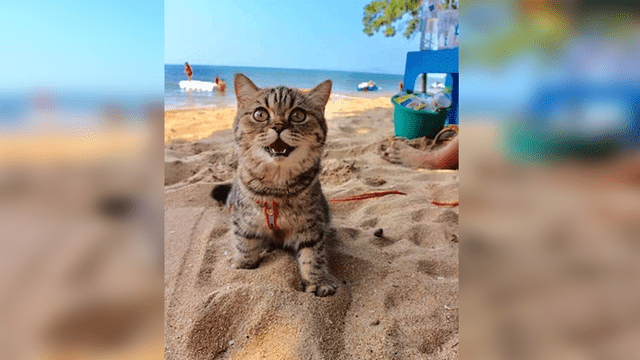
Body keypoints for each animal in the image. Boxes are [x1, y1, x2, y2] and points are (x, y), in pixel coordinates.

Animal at [212, 74, 338, 298]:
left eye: (298, 115)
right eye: (260, 114)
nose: (279, 127)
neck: (276, 188)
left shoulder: (312, 225)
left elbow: (313, 255)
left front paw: (317, 281)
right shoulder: (243, 219)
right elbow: (244, 242)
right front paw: (244, 264)